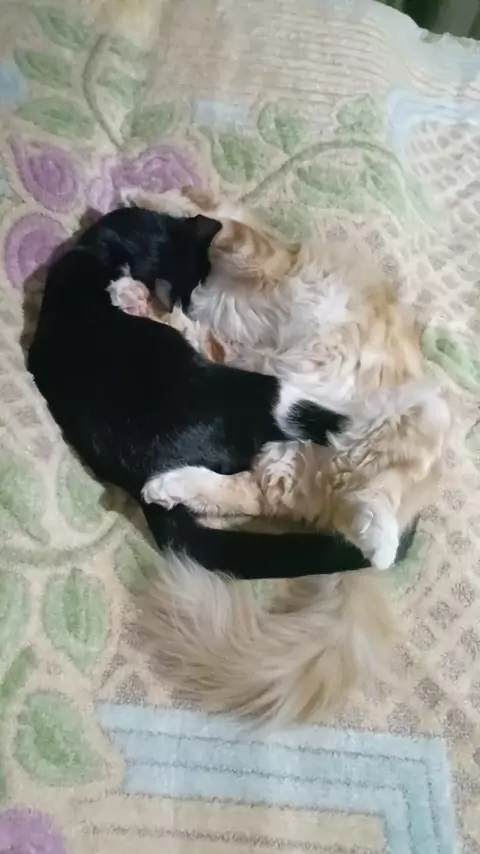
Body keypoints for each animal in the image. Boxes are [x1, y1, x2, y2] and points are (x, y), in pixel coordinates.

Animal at [114, 186, 453, 725]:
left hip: (416, 426)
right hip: (286, 464)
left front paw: (170, 205)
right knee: (247, 494)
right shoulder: (218, 339)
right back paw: (169, 486)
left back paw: (376, 534)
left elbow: (221, 227)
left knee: (377, 507)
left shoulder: (258, 254)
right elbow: (187, 320)